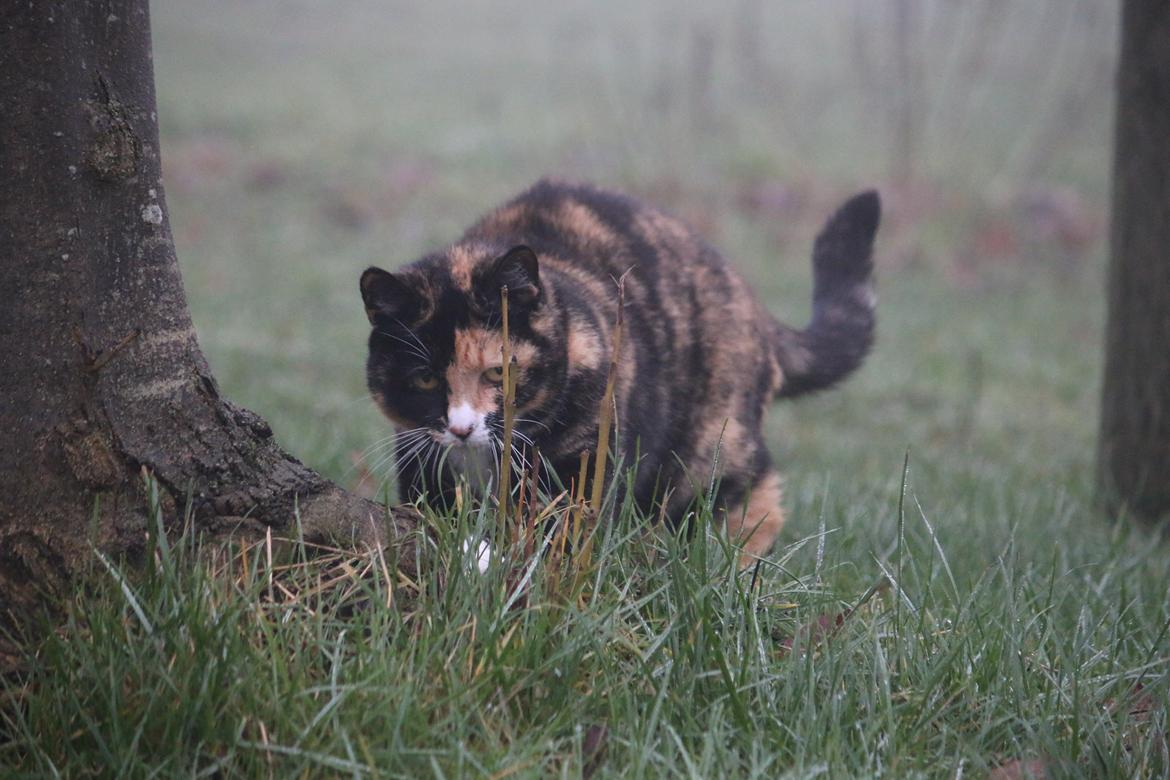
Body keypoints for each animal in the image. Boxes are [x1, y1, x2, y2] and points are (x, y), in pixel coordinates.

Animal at [358, 180, 879, 561]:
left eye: (496, 373)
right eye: (426, 379)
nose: (462, 427)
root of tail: (750, 301)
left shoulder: (586, 466)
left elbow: (564, 535)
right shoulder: (423, 465)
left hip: (710, 452)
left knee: (753, 497)